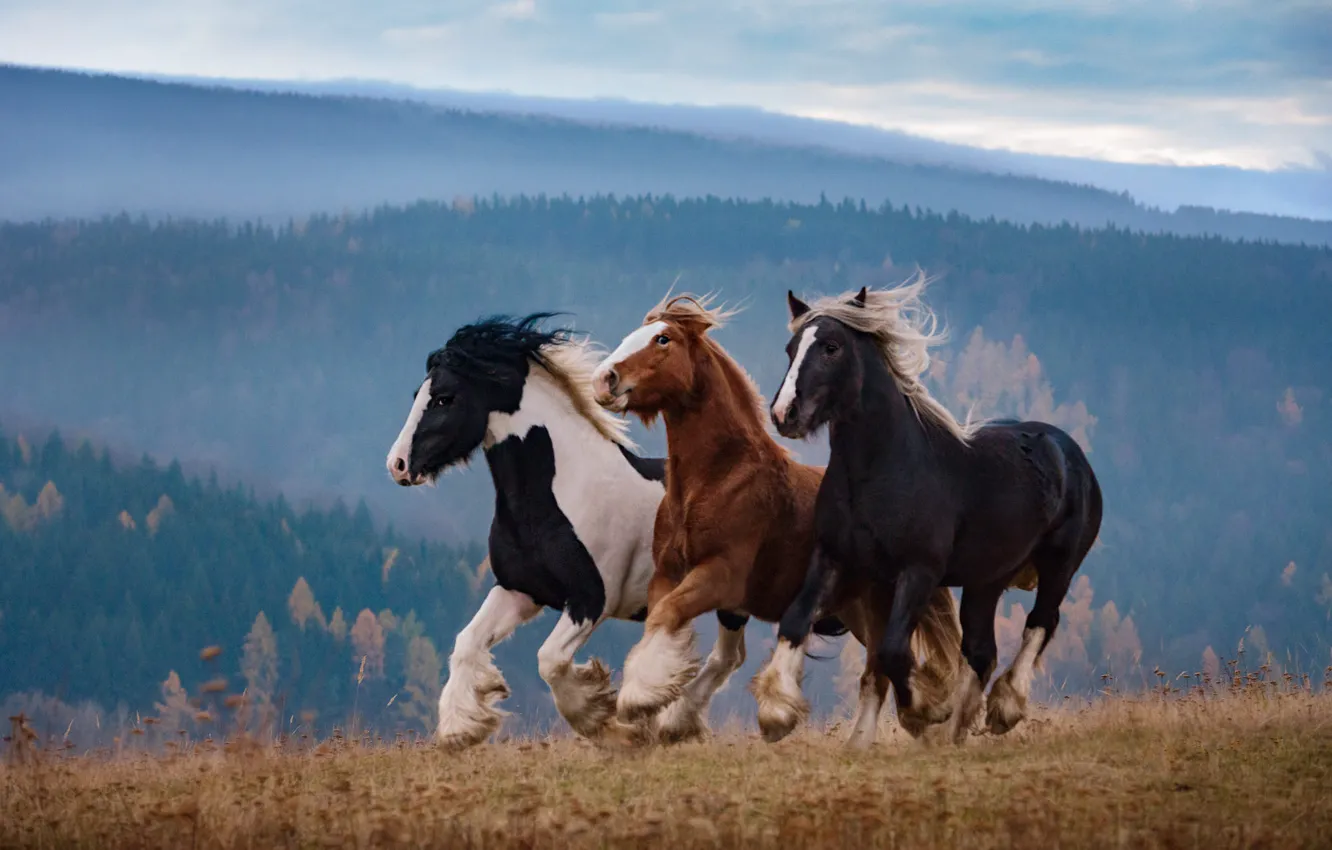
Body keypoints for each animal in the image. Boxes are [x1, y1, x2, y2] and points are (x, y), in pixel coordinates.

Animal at [388, 317, 756, 751]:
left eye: (444, 398)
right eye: (418, 394)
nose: (397, 465)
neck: (558, 493)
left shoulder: (590, 600)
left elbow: (549, 661)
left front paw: (612, 724)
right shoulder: (519, 590)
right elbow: (467, 642)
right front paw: (461, 729)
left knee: (728, 658)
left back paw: (675, 721)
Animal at [591, 294, 959, 746]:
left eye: (663, 339)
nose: (603, 379)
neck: (714, 480)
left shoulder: (721, 576)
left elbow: (668, 616)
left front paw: (641, 697)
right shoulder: (671, 575)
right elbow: (667, 623)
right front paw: (666, 713)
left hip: (878, 603)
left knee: (879, 668)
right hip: (851, 608)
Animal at [756, 277, 1097, 751]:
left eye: (831, 347)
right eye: (791, 348)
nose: (784, 413)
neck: (883, 469)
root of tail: (1068, 451)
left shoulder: (918, 571)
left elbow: (892, 650)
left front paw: (924, 711)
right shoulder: (838, 559)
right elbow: (797, 620)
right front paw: (777, 713)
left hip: (1059, 565)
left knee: (1040, 622)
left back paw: (1003, 709)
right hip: (986, 580)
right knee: (981, 650)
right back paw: (957, 732)